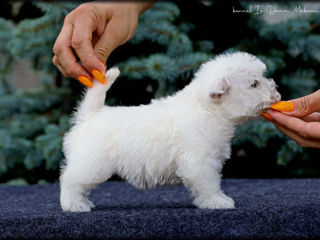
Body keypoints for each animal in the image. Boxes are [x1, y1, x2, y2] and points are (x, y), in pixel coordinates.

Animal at [59, 51, 280, 211]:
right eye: (254, 84)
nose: (276, 93)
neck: (208, 110)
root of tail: (90, 114)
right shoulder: (200, 163)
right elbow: (210, 184)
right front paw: (218, 201)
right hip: (91, 164)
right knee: (69, 181)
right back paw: (74, 205)